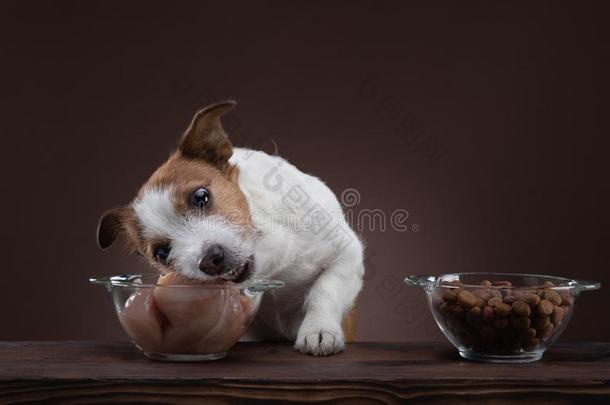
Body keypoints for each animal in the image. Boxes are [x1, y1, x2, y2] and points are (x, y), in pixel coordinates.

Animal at [95, 100, 360, 354]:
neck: (274, 263)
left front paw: (319, 330)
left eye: (201, 196)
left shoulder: (347, 255)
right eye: (162, 253)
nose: (210, 260)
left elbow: (325, 290)